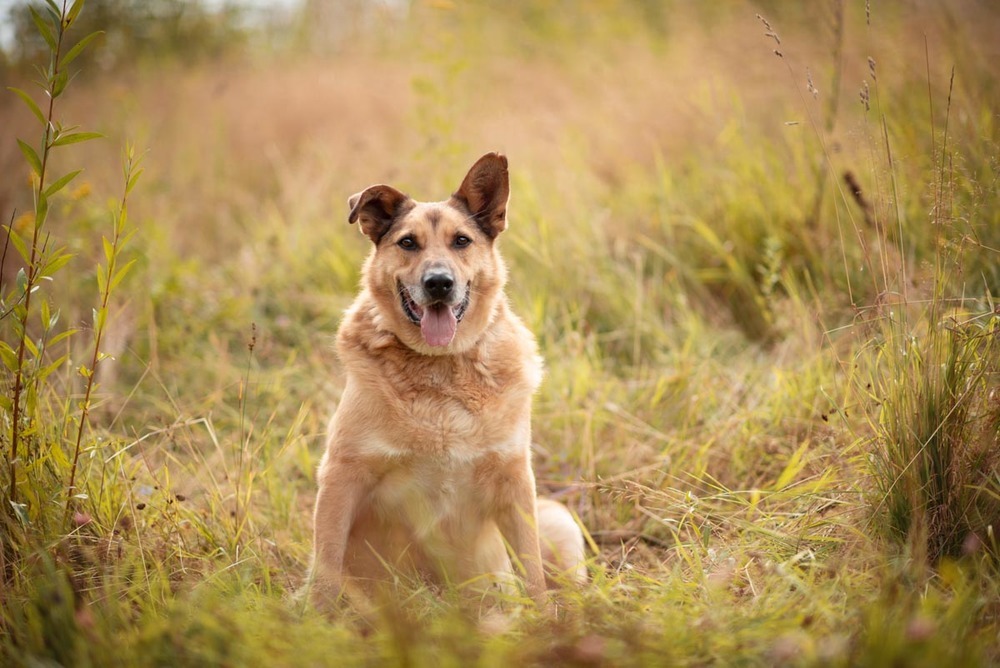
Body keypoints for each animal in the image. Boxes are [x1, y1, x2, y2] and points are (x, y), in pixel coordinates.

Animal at [308, 151, 584, 612]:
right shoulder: (341, 476)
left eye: (461, 241)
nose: (439, 283)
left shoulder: (515, 482)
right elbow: (326, 565)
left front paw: (545, 619)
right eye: (408, 243)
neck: (441, 367)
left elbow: (533, 575)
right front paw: (316, 616)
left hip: (559, 520)